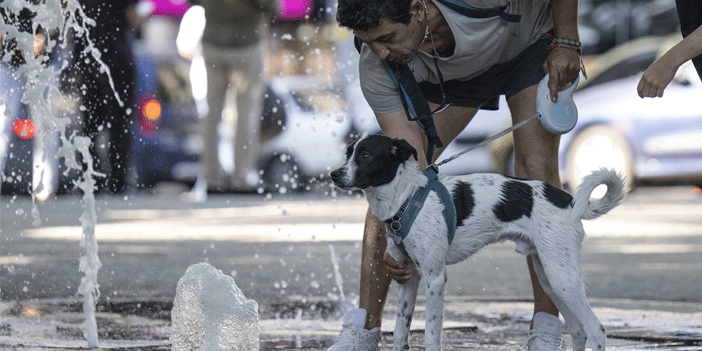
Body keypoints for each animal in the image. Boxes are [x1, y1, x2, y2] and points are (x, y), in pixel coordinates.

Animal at [332, 135, 628, 351]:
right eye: (348, 153)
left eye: (366, 155)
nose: (334, 174)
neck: (406, 198)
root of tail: (568, 199)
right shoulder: (409, 277)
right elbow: (399, 334)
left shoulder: (435, 279)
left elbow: (431, 333)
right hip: (551, 277)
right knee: (578, 329)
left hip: (562, 276)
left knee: (595, 329)